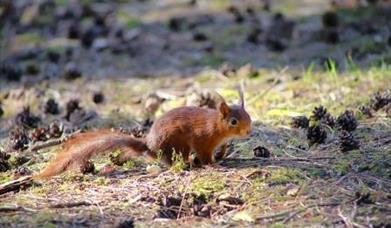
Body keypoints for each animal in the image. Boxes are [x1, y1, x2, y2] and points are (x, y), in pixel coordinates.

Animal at [35, 89, 253, 180]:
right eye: (233, 122)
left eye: (249, 116)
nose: (249, 131)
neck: (216, 127)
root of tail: (150, 147)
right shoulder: (202, 139)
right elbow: (205, 155)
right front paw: (214, 164)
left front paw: (224, 153)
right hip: (176, 145)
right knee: (171, 160)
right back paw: (187, 164)